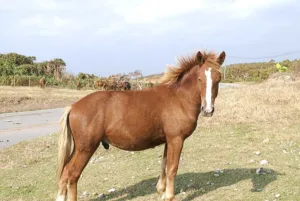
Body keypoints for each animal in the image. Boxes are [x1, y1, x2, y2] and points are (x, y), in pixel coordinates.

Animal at [55, 49, 225, 200]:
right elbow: (172, 168)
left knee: (65, 173)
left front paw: (161, 190)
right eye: (200, 79)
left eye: (218, 78)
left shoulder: (168, 140)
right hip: (86, 149)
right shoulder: (176, 139)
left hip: (78, 148)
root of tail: (73, 106)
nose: (208, 110)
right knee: (72, 175)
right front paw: (169, 196)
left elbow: (164, 165)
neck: (179, 98)